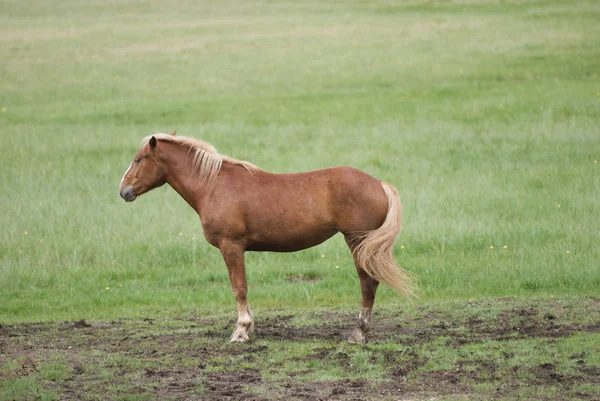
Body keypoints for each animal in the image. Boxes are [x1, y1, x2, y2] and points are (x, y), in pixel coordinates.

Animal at [119, 132, 414, 344]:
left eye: (138, 159)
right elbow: (243, 289)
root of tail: (379, 184)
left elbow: (239, 288)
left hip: (357, 242)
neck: (214, 185)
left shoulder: (231, 247)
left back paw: (358, 333)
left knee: (368, 284)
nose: (123, 191)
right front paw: (249, 328)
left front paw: (241, 332)